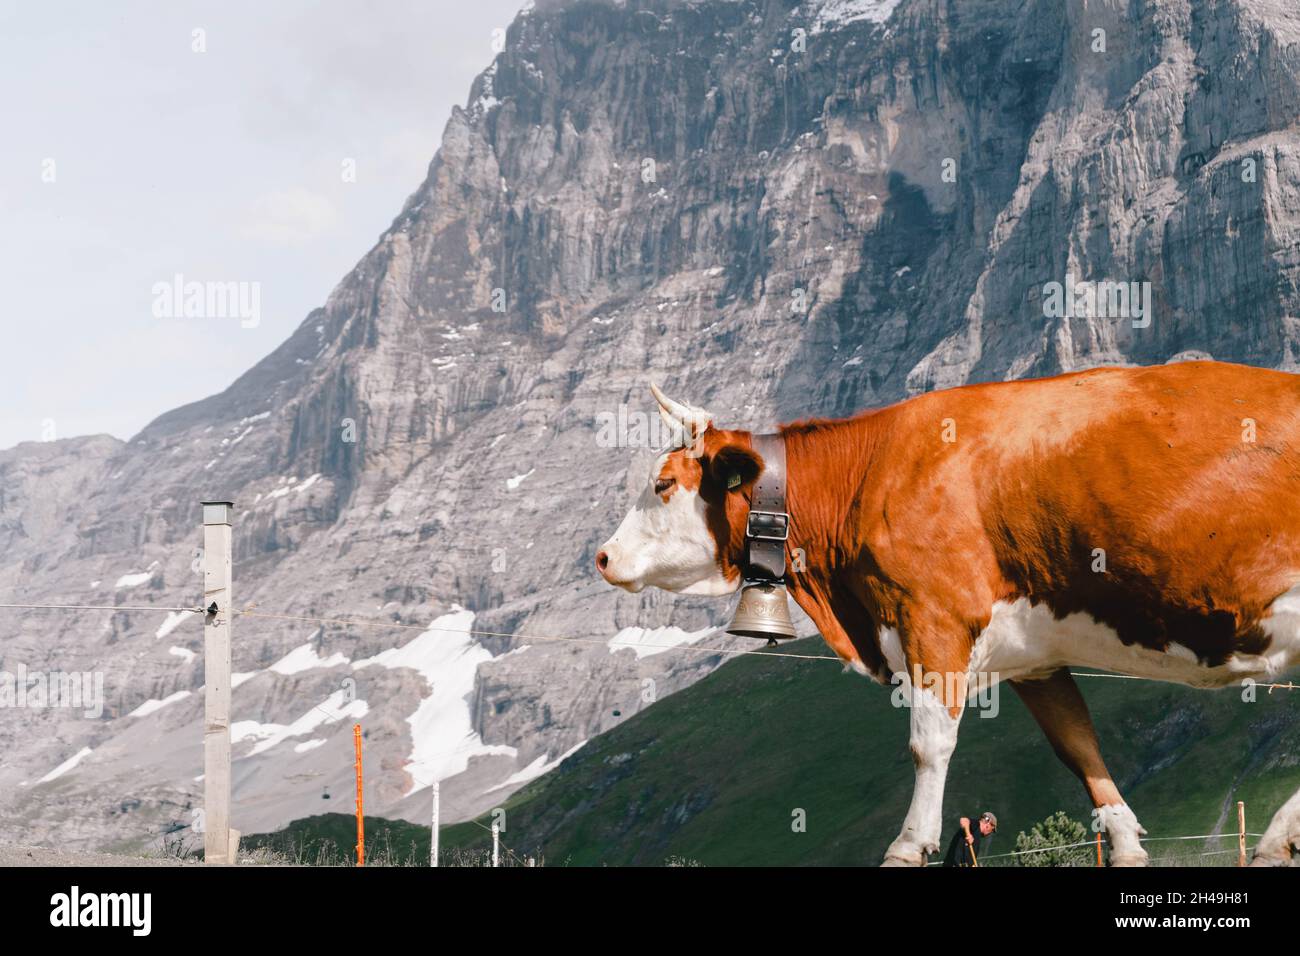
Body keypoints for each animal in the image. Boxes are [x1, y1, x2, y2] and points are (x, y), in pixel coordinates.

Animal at [595, 361, 1300, 868]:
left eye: (662, 483)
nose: (602, 556)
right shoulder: (1034, 652)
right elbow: (1078, 747)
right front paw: (1126, 844)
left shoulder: (932, 617)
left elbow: (928, 742)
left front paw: (909, 844)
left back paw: (1275, 840)